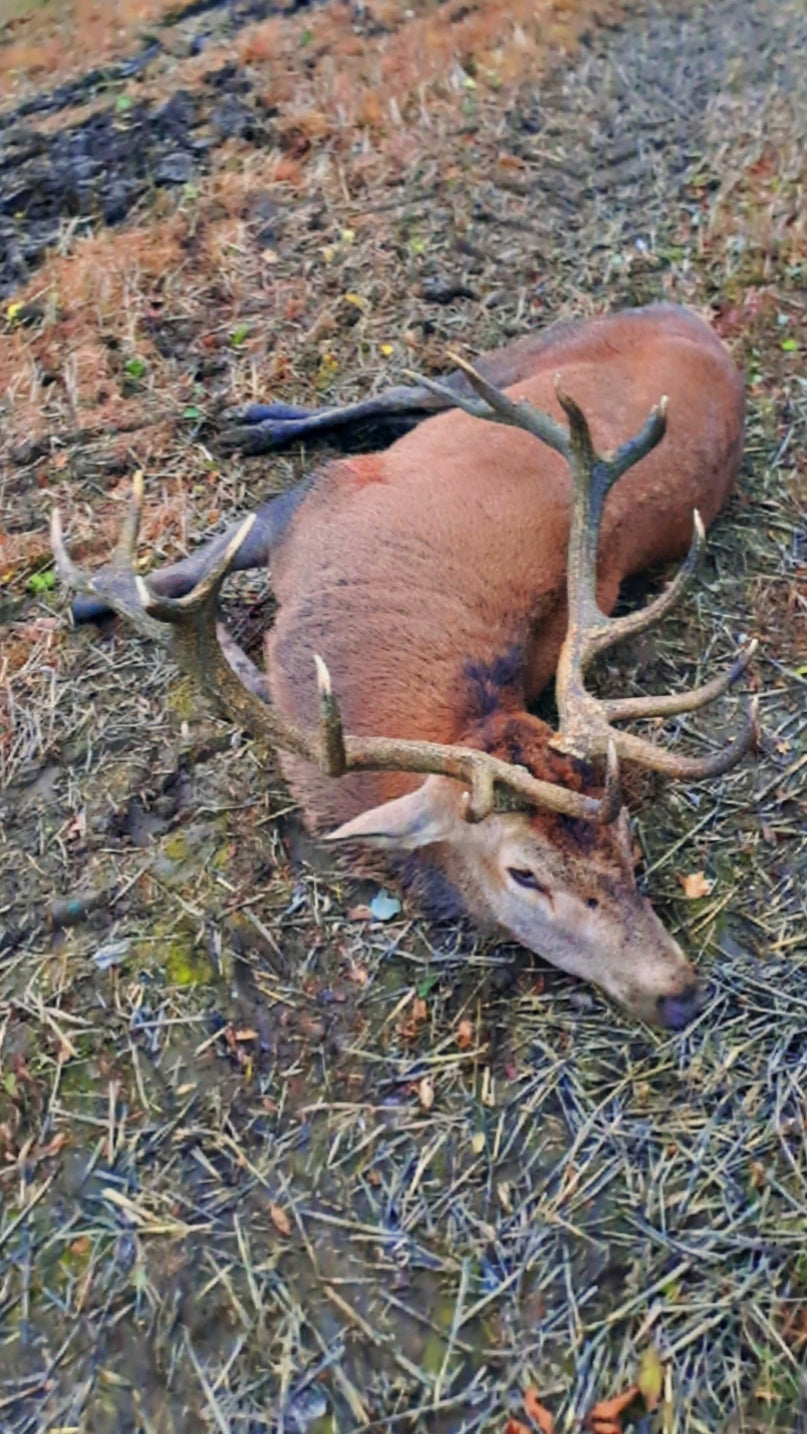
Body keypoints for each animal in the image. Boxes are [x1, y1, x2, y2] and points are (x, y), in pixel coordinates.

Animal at [52, 302, 758, 1030]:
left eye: (625, 835)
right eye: (525, 873)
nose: (679, 991)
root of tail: (693, 320)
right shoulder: (312, 500)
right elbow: (183, 576)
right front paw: (90, 594)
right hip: (526, 352)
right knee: (414, 388)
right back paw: (254, 422)